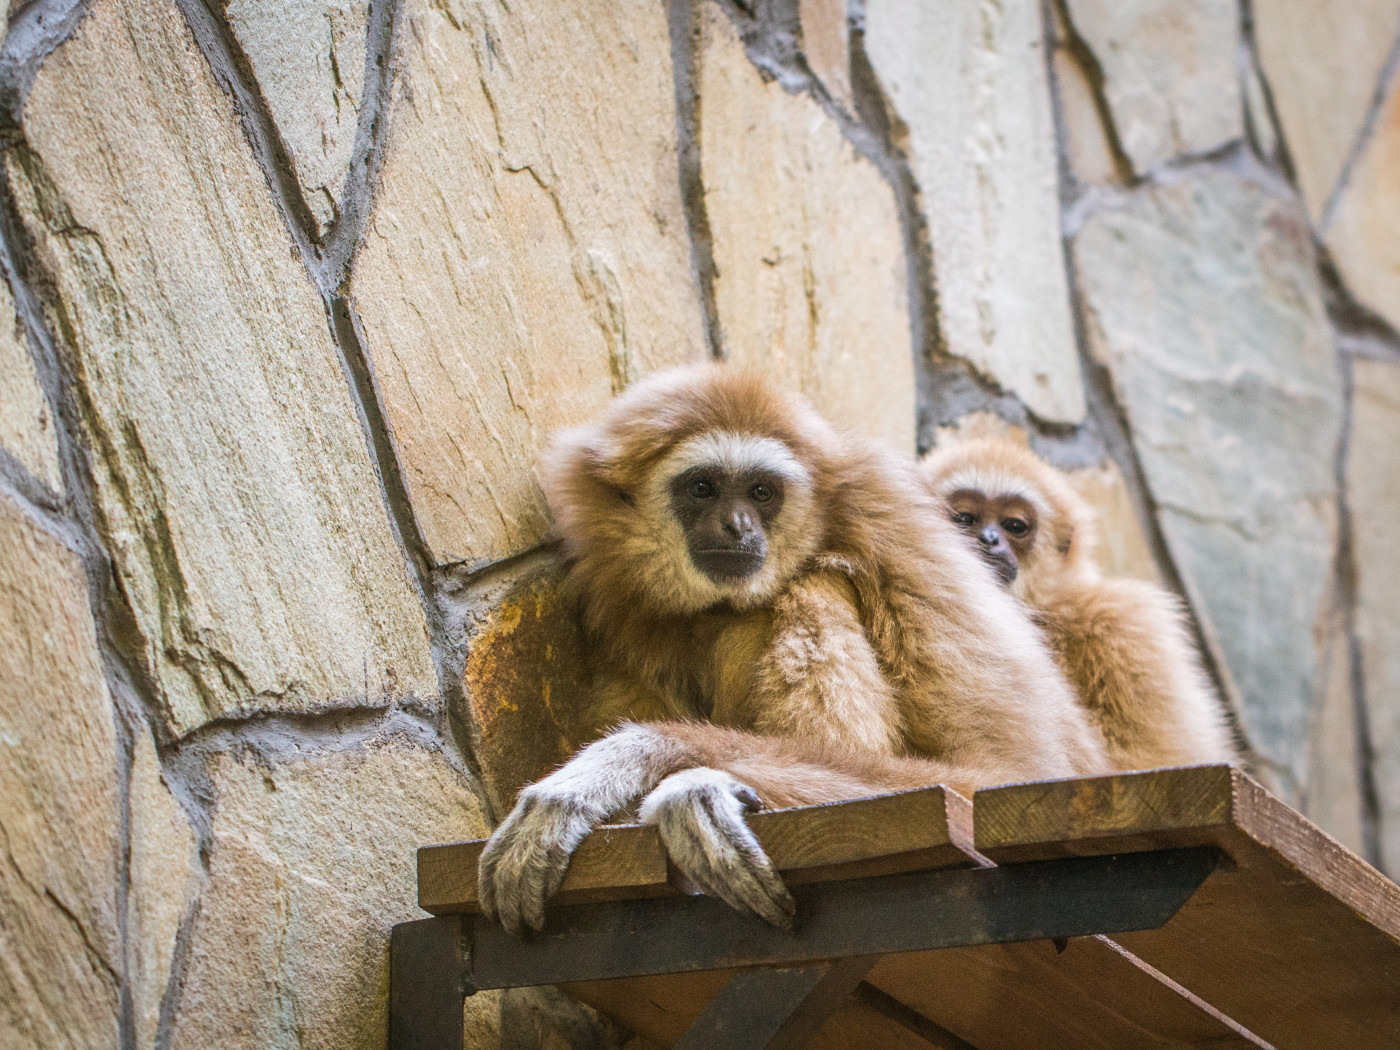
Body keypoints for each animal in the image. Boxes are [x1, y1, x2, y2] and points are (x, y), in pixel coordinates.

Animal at [478, 365, 1111, 934]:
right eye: (703, 487)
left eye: (762, 492)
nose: (737, 525)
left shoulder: (900, 537)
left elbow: (992, 773)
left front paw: (643, 766)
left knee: (811, 584)